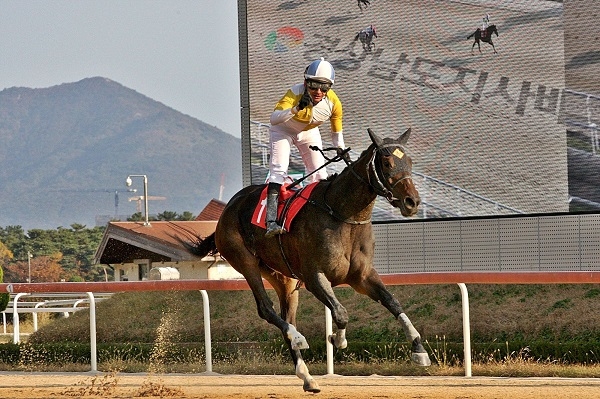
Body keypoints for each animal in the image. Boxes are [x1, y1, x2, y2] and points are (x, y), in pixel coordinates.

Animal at [185, 129, 428, 394]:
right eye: (387, 163)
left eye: (410, 162)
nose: (412, 202)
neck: (343, 214)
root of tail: (228, 208)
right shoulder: (314, 277)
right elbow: (341, 313)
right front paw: (337, 339)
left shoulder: (362, 277)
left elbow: (393, 302)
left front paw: (419, 349)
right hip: (244, 261)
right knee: (266, 309)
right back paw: (297, 337)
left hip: (284, 278)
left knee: (287, 315)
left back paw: (307, 375)